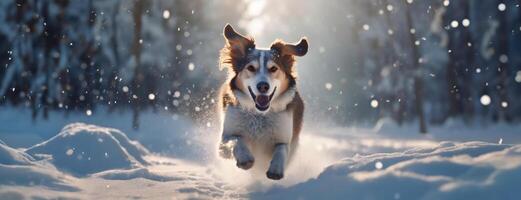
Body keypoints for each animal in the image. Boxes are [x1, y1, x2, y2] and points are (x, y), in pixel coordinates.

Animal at [216, 23, 306, 180]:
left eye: (273, 68)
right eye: (251, 68)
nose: (263, 86)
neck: (259, 114)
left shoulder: (284, 139)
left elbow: (281, 149)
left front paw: (276, 169)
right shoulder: (223, 142)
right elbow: (236, 140)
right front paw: (245, 158)